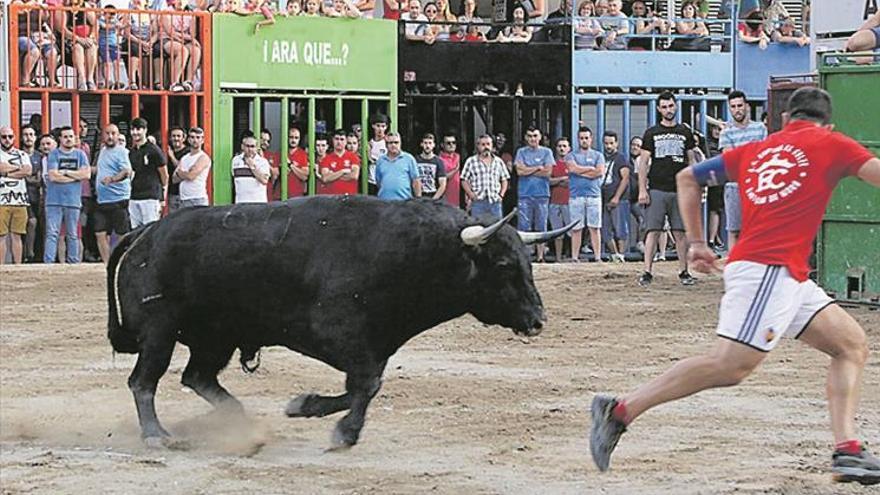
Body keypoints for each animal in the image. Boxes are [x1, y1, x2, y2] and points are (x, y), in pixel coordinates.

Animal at [108, 196, 572, 452]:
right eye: (503, 264)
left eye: (528, 261)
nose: (538, 320)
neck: (412, 252)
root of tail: (146, 232)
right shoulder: (335, 335)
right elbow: (365, 386)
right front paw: (343, 433)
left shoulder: (375, 346)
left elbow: (363, 387)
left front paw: (305, 406)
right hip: (161, 332)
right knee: (143, 382)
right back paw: (157, 435)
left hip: (215, 337)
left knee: (197, 377)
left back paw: (239, 421)